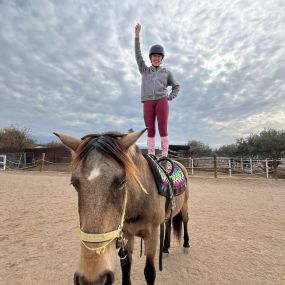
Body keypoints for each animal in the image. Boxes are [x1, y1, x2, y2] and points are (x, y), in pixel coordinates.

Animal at [54, 129, 190, 284]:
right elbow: (126, 267)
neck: (139, 201)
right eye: (74, 183)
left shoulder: (152, 235)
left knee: (185, 221)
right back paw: (166, 249)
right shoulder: (127, 235)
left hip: (185, 205)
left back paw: (186, 245)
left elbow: (149, 272)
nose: (92, 279)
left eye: (121, 182)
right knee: (168, 224)